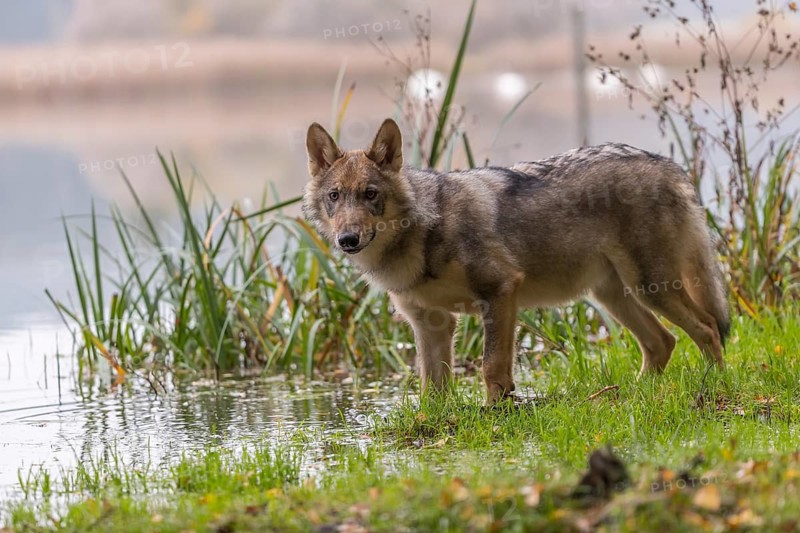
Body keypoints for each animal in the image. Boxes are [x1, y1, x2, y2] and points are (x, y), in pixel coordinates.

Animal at [303, 118, 730, 404]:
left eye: (370, 194)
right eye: (335, 196)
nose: (347, 239)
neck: (420, 236)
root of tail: (667, 164)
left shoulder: (500, 291)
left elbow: (492, 366)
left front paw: (495, 416)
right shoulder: (431, 323)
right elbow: (432, 387)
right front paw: (435, 424)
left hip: (650, 288)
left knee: (708, 329)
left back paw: (713, 387)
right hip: (614, 296)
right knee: (663, 342)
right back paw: (630, 394)